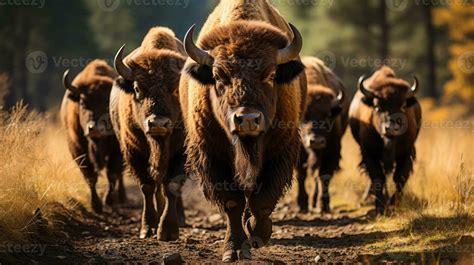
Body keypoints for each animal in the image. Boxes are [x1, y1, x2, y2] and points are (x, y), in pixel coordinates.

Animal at [59, 59, 126, 212]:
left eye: (107, 104)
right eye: (83, 102)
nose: (95, 128)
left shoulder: (118, 151)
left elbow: (112, 174)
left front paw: (109, 201)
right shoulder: (78, 149)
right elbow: (90, 176)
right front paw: (96, 205)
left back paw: (122, 197)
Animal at [109, 26, 187, 239]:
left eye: (176, 89)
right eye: (137, 88)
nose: (158, 123)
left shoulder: (181, 153)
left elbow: (172, 186)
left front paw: (168, 230)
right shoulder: (133, 151)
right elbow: (147, 186)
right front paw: (148, 227)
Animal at [179, 0, 308, 260]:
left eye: (271, 75)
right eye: (219, 76)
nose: (247, 119)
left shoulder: (280, 151)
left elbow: (263, 200)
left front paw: (259, 235)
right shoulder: (213, 155)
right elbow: (233, 202)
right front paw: (234, 248)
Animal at [296, 56, 348, 213]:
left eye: (328, 116)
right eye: (304, 116)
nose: (317, 141)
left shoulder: (332, 150)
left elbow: (324, 176)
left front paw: (323, 205)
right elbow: (301, 175)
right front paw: (302, 205)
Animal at [348, 66, 422, 214]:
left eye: (403, 106)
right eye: (377, 107)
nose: (391, 127)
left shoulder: (406, 153)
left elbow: (399, 177)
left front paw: (395, 203)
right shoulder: (369, 154)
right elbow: (378, 177)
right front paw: (380, 206)